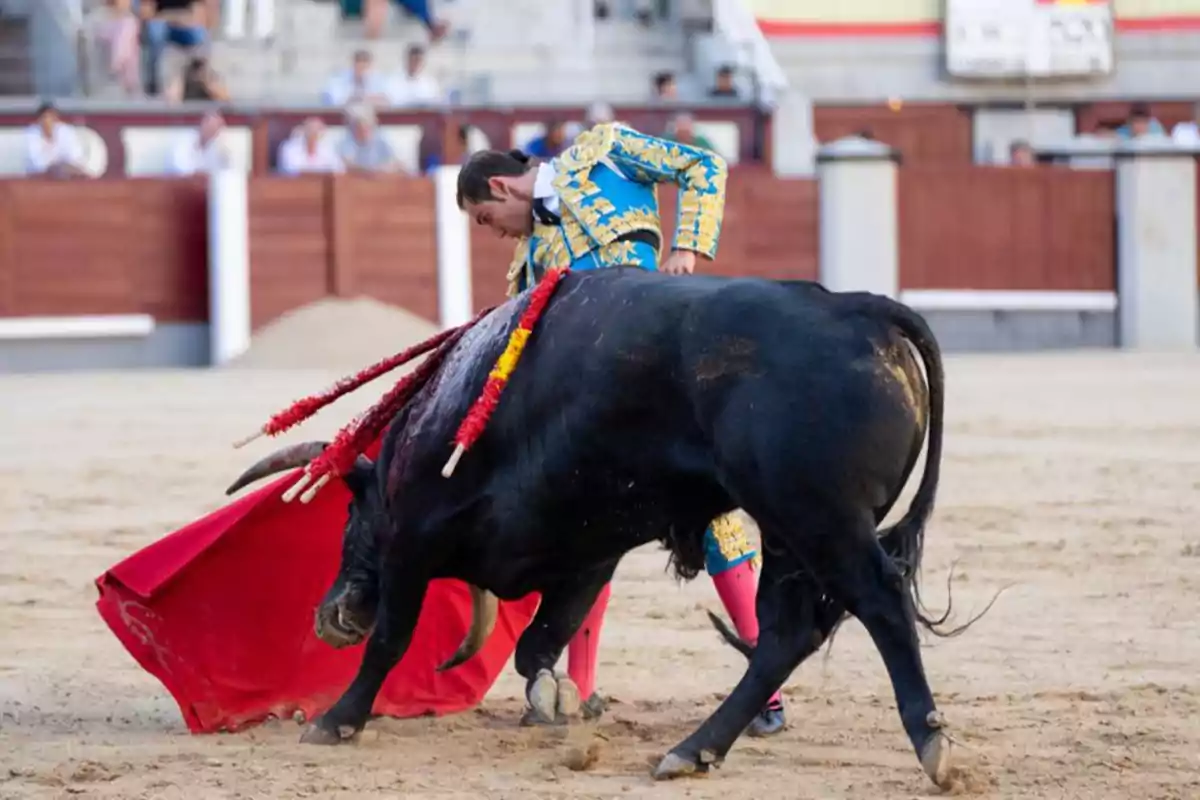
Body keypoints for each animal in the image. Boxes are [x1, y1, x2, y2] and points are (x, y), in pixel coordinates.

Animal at [225, 271, 955, 786]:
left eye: (352, 518)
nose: (332, 615)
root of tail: (855, 308)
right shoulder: (589, 551)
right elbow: (540, 642)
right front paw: (558, 703)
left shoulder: (413, 540)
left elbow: (392, 641)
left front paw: (336, 721)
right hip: (788, 529)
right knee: (786, 633)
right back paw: (693, 751)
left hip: (819, 518)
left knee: (879, 602)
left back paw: (933, 745)